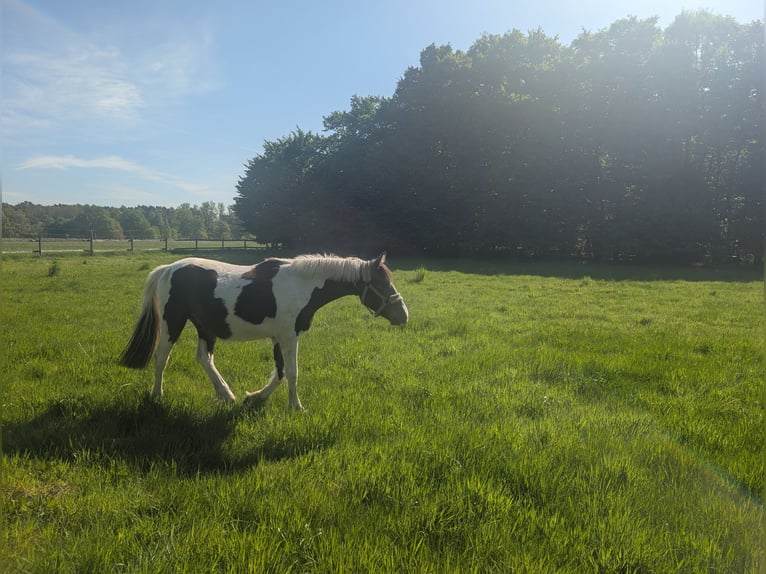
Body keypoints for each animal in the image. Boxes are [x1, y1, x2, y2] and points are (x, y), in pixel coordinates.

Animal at [118, 252, 408, 409]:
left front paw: (255, 397)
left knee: (204, 359)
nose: (403, 315)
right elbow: (291, 373)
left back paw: (226, 394)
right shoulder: (289, 337)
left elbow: (280, 373)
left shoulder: (279, 338)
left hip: (205, 327)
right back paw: (157, 395)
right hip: (173, 322)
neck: (301, 285)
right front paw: (296, 406)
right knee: (161, 358)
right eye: (383, 283)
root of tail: (168, 268)